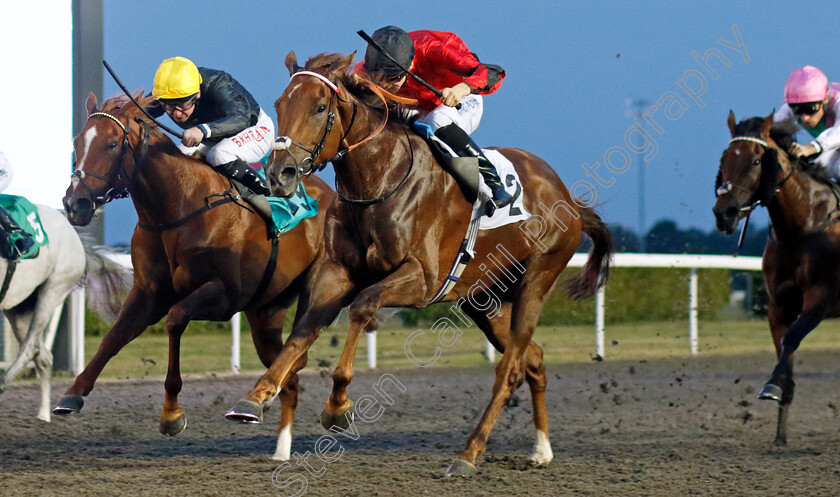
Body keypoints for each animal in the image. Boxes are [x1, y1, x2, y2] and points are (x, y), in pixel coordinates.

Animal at [0, 203, 129, 420]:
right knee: (43, 356)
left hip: (53, 289)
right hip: (17, 307)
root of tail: (73, 234)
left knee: (31, 347)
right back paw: (43, 417)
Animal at [56, 91, 334, 460]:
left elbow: (175, 319)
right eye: (77, 141)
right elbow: (113, 338)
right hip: (266, 313)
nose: (76, 204)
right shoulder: (147, 293)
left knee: (302, 346)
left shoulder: (224, 295)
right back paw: (274, 439)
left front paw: (171, 413)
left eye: (113, 144)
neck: (177, 208)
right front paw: (72, 394)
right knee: (288, 373)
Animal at [226, 52, 612, 474]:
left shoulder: (422, 279)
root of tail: (566, 197)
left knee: (509, 370)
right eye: (280, 105)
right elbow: (302, 333)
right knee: (534, 359)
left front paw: (338, 405)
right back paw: (541, 448)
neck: (380, 179)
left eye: (320, 107)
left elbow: (363, 307)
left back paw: (469, 453)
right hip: (486, 299)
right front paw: (254, 397)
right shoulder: (337, 274)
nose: (279, 174)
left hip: (536, 281)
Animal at [712, 112, 840, 446]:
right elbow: (784, 345)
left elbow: (792, 337)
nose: (724, 212)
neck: (802, 226)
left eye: (757, 160)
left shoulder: (820, 299)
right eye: (724, 159)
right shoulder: (779, 305)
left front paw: (773, 386)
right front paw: (780, 426)